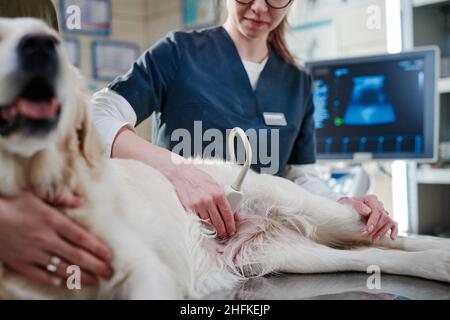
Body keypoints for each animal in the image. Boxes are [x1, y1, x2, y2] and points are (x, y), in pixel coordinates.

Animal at [0, 18, 450, 300]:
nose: (37, 52)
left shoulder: (141, 267)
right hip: (285, 255)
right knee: (372, 254)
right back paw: (438, 263)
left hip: (313, 208)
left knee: (388, 234)